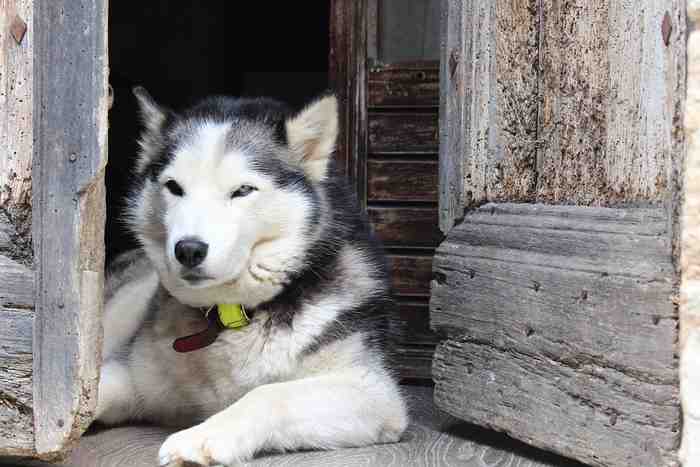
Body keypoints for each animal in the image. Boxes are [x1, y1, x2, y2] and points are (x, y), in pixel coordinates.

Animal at [95, 88, 408, 467]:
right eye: (174, 187)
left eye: (242, 190)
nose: (188, 249)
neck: (229, 317)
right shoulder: (135, 374)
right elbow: (91, 390)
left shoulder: (373, 394)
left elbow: (269, 394)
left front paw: (203, 436)